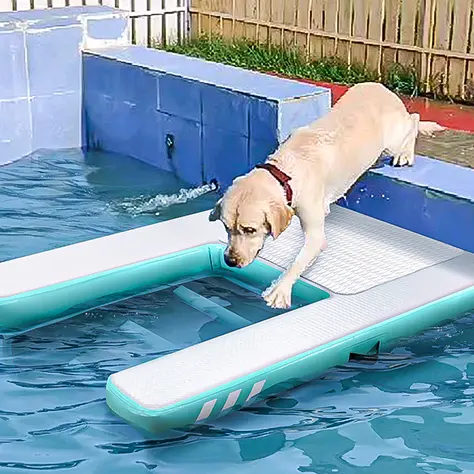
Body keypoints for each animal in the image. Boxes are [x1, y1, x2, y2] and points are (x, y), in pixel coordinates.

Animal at [209, 83, 442, 310]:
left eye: (250, 230)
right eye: (226, 227)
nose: (230, 261)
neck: (285, 171)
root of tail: (386, 90)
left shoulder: (315, 232)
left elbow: (298, 262)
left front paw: (280, 291)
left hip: (391, 141)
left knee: (414, 120)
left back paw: (406, 153)